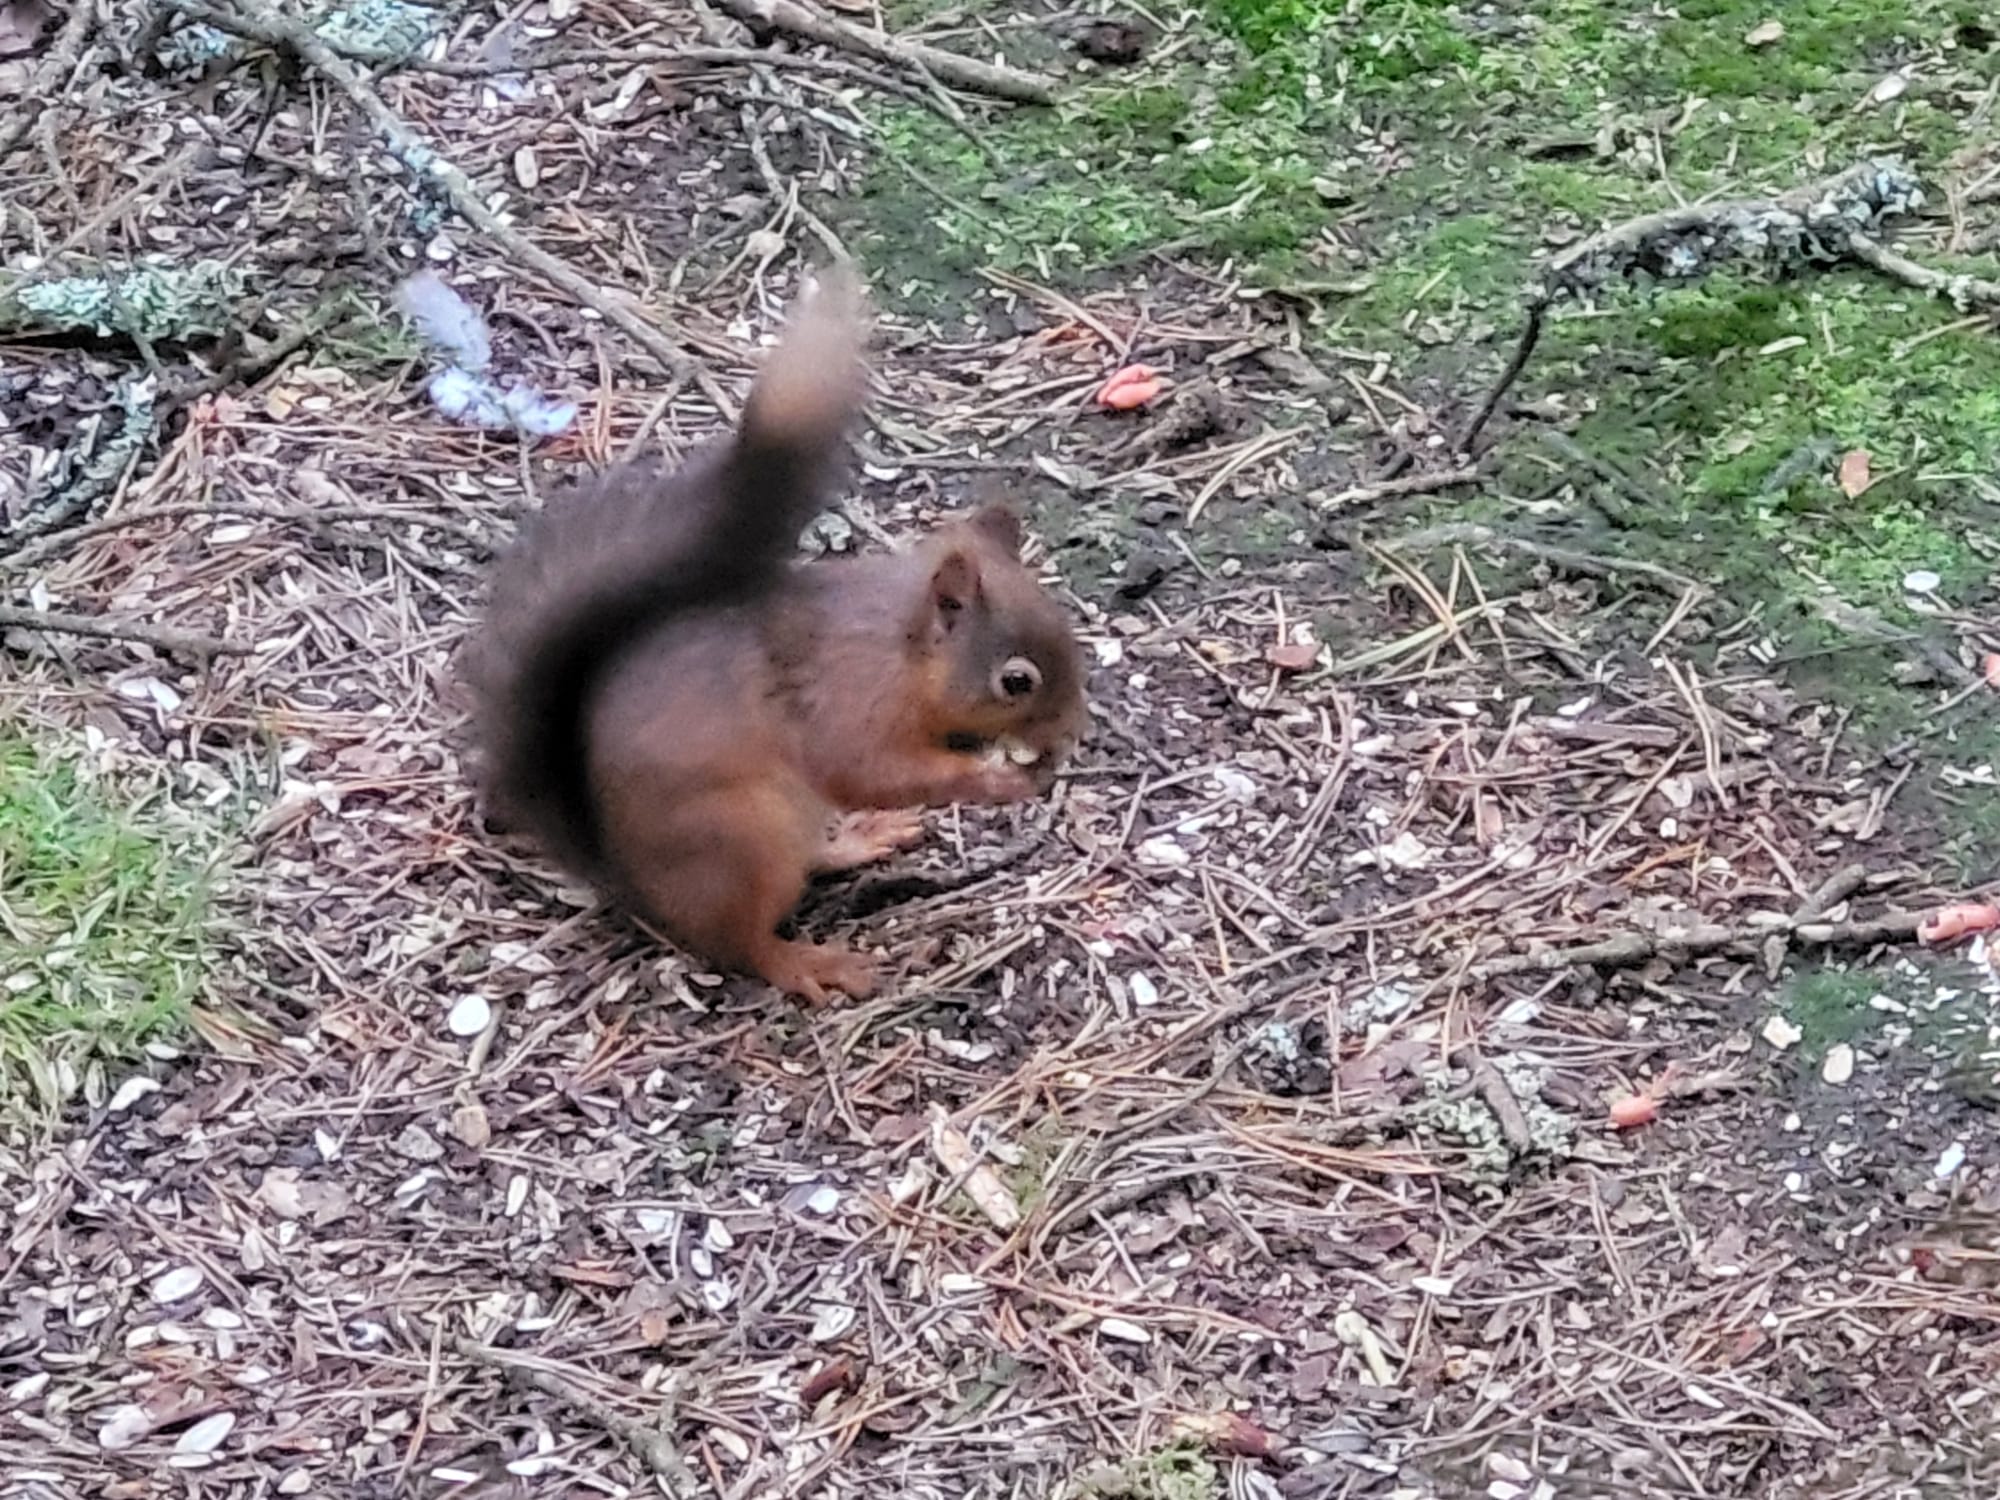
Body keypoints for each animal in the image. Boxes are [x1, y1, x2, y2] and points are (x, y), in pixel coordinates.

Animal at [462, 270, 1089, 1004]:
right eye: (1016, 681)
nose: (1071, 731)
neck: (900, 650)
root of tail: (628, 879)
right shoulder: (848, 703)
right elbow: (870, 769)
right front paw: (997, 780)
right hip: (741, 841)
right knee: (746, 944)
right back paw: (810, 963)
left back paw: (860, 840)